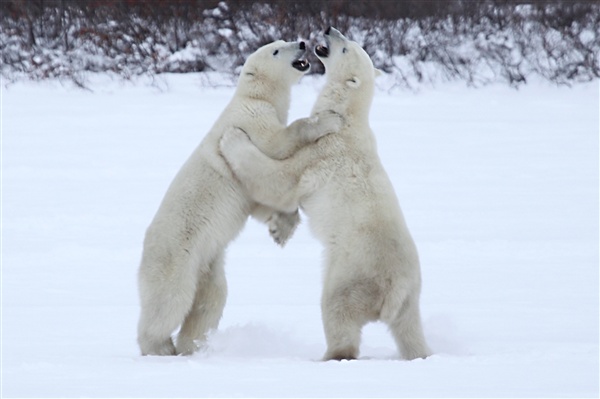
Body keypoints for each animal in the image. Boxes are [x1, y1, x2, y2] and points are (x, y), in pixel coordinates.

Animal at [137, 39, 342, 356]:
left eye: (283, 40)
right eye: (276, 50)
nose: (302, 43)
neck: (256, 95)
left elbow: (259, 198)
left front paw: (280, 229)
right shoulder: (252, 118)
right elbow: (279, 142)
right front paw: (328, 120)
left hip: (207, 262)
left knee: (209, 301)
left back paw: (194, 345)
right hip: (175, 256)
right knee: (169, 301)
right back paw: (159, 347)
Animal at [220, 26, 432, 360]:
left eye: (346, 48)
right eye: (349, 39)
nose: (330, 29)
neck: (347, 119)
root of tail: (395, 291)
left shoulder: (322, 154)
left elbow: (280, 180)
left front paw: (232, 138)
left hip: (350, 274)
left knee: (338, 312)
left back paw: (329, 354)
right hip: (411, 298)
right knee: (410, 331)